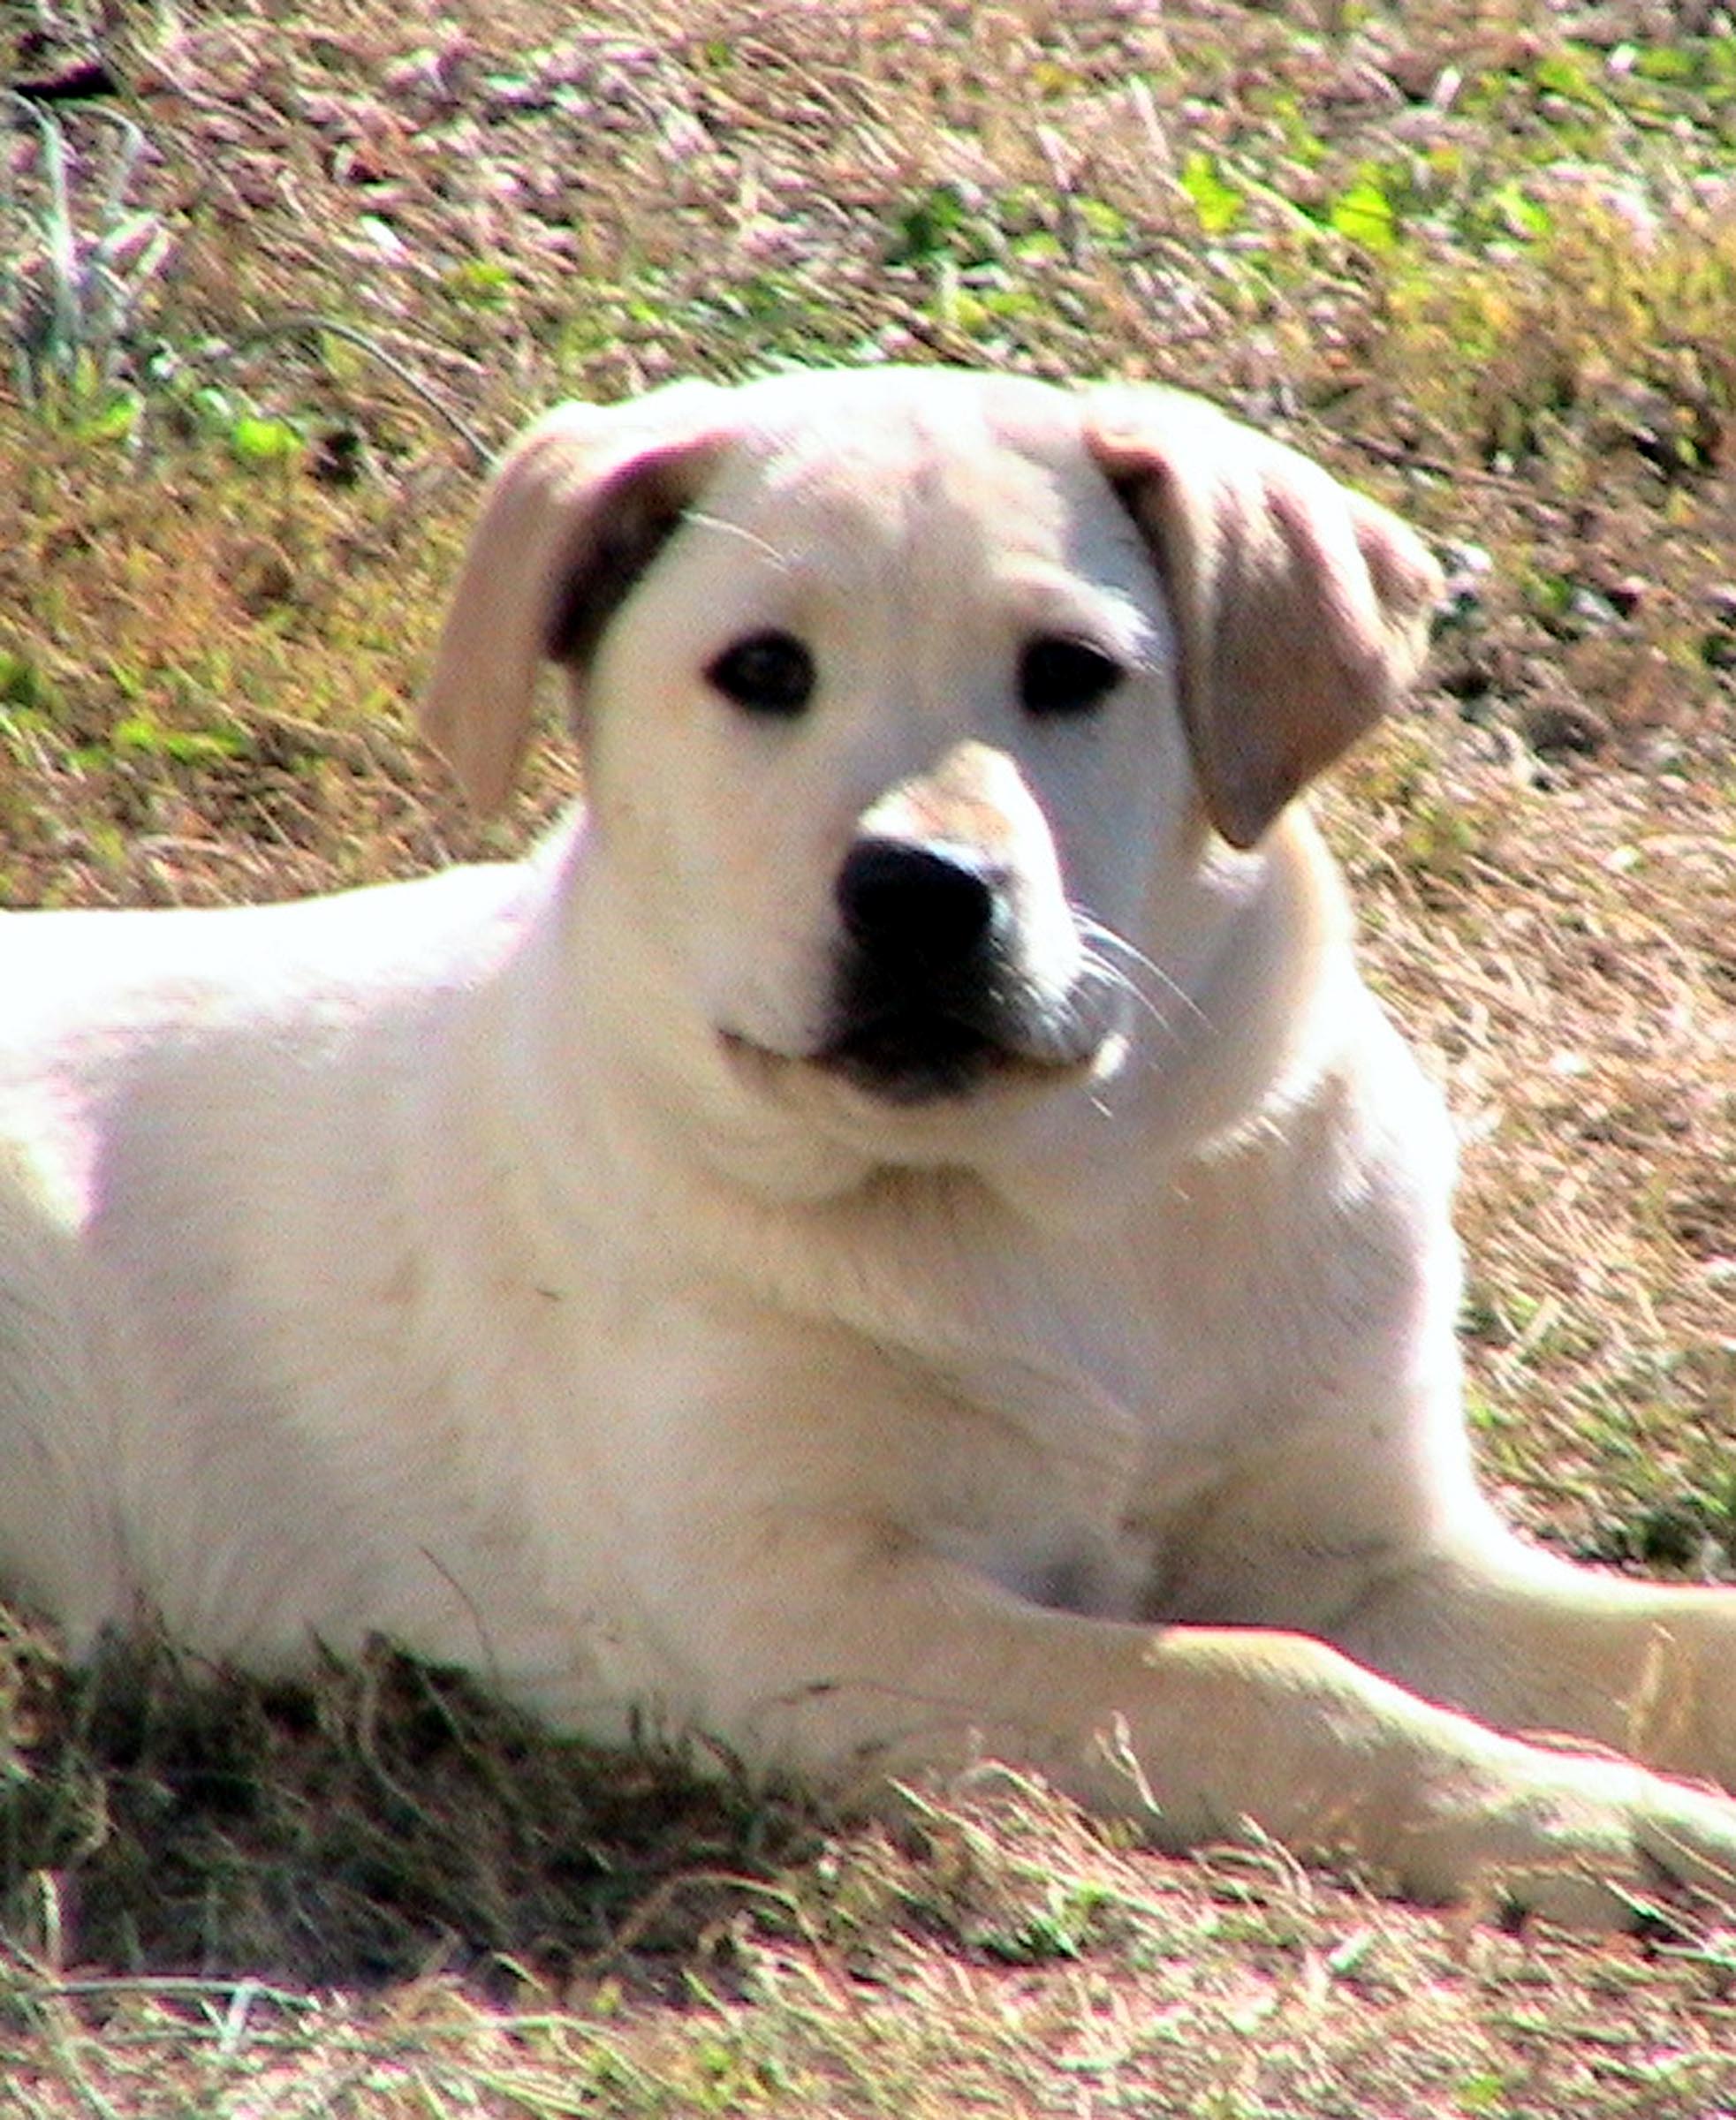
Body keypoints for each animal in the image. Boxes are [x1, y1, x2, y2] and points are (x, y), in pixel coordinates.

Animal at [3, 373, 1736, 1933]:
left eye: (1072, 671)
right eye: (764, 670)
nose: (919, 894)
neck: (1050, 1211)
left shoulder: (1369, 1552)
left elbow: (1666, 1636)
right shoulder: (800, 1621)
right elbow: (1262, 1682)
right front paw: (1601, 1823)